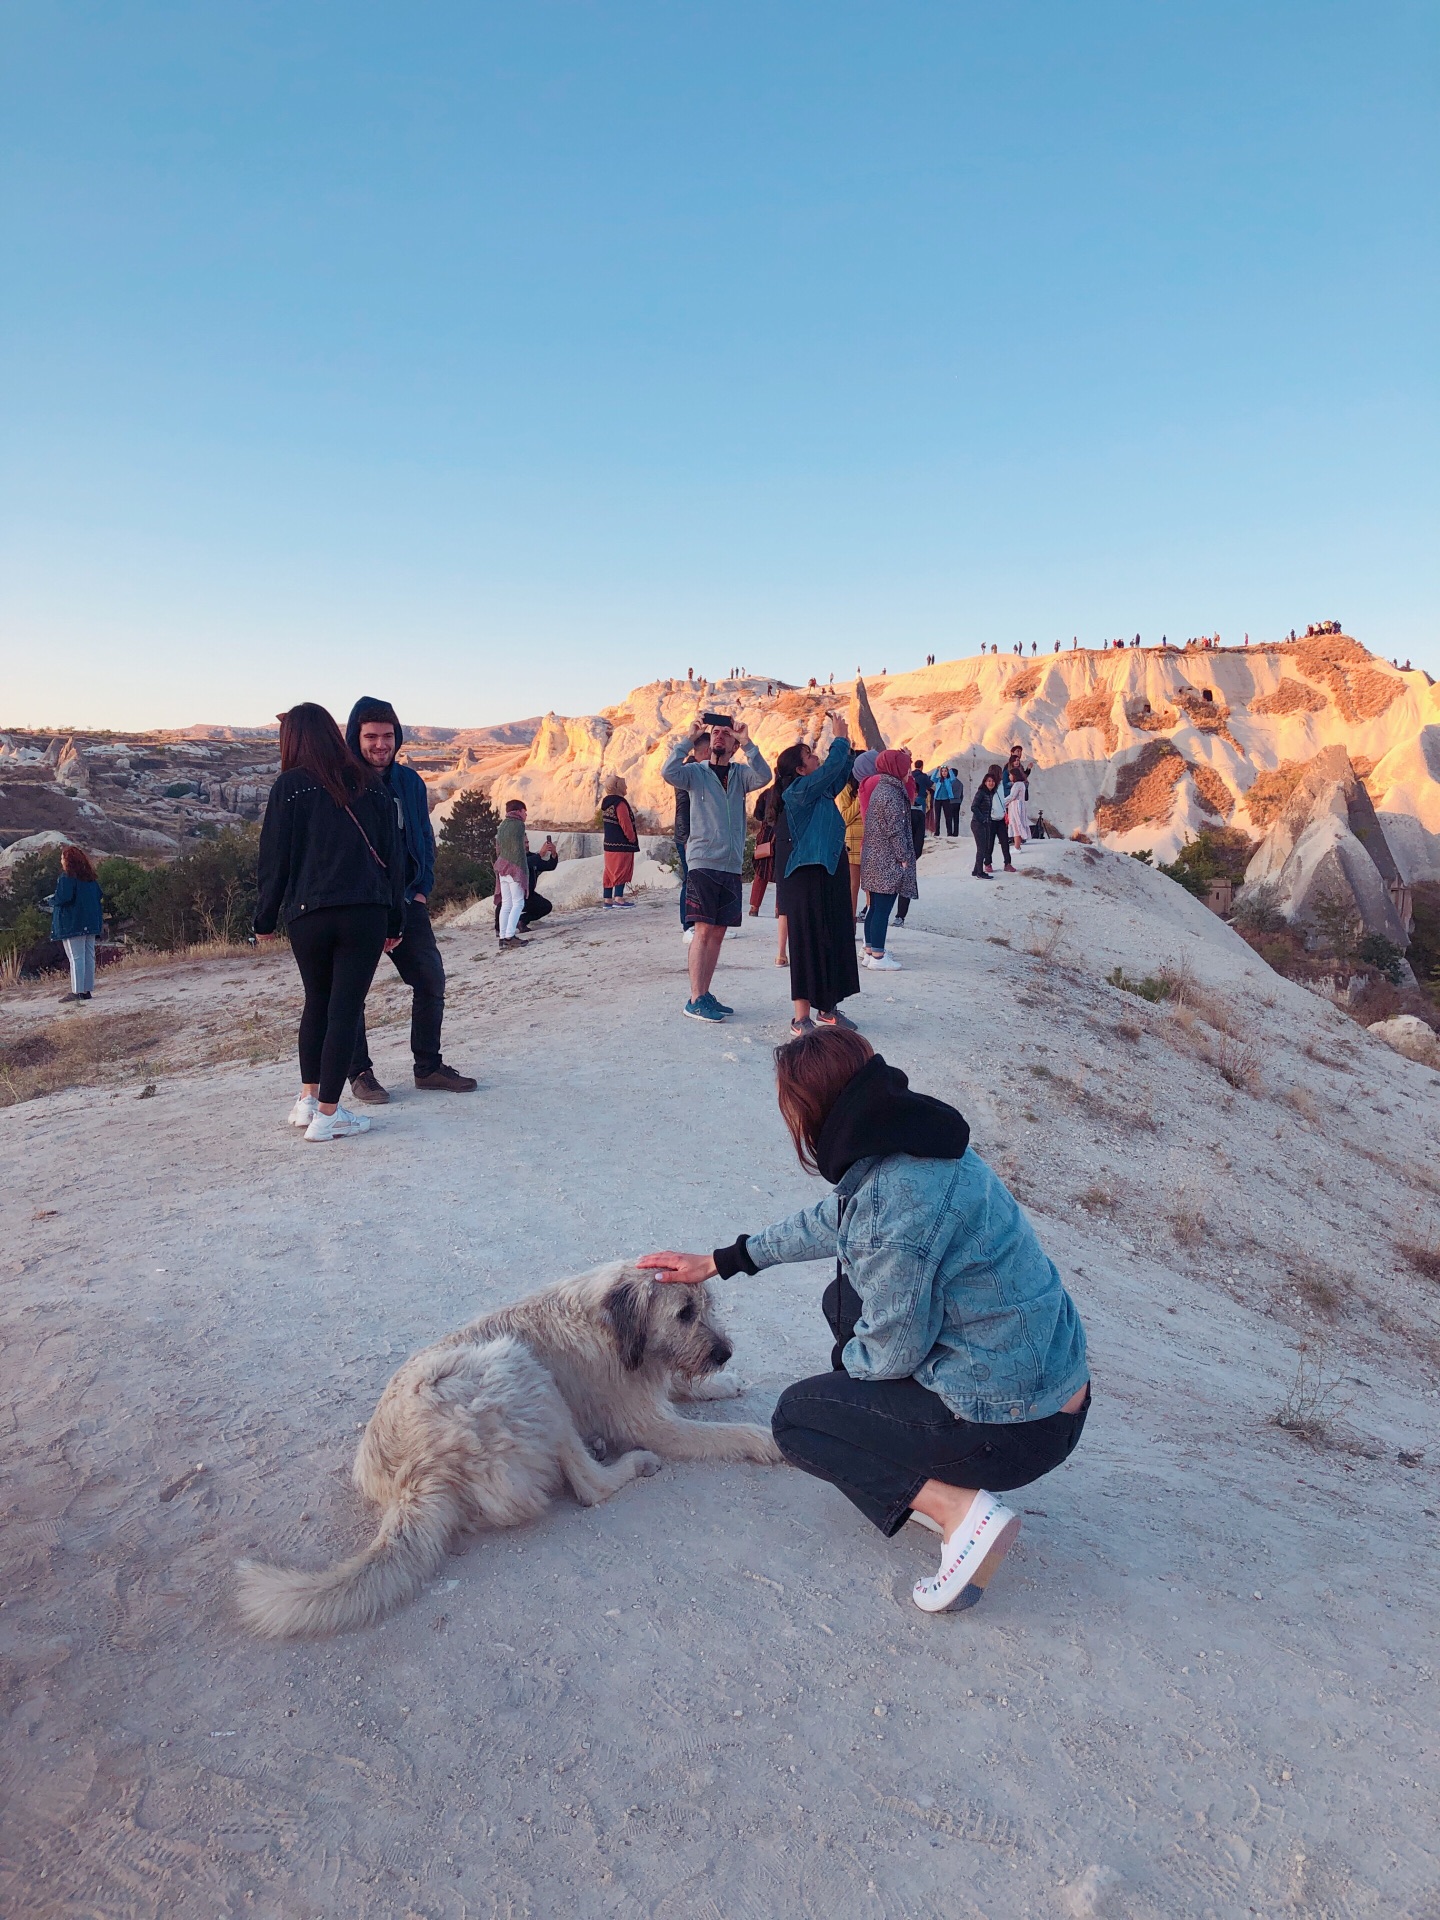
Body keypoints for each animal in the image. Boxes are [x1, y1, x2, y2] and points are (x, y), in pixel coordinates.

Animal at [238, 1259, 783, 1635]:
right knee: (590, 1486)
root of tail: (416, 1477)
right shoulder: (649, 1421)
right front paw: (763, 1438)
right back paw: (630, 1463)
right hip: (520, 1367)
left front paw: (724, 1383)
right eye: (684, 1313)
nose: (725, 1352)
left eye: (707, 1309)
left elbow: (685, 1387)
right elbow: (719, 1433)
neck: (608, 1323)